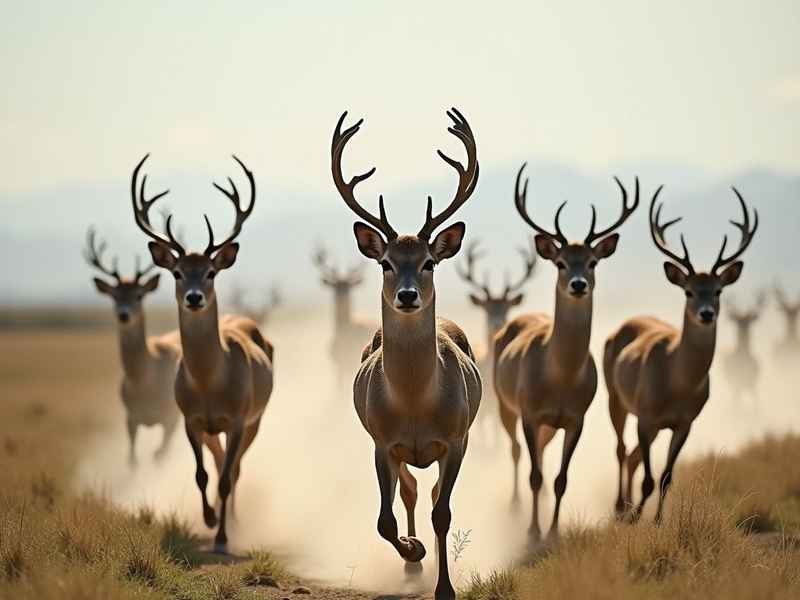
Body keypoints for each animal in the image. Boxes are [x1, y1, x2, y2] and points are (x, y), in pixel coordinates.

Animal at [84, 227, 182, 467]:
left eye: (139, 294)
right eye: (114, 295)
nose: (124, 314)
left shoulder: (170, 417)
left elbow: (159, 455)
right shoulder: (130, 417)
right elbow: (132, 460)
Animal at [130, 154, 274, 552]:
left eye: (211, 271)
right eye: (177, 272)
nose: (194, 298)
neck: (210, 382)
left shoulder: (238, 419)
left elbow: (225, 478)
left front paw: (222, 537)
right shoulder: (190, 421)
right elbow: (200, 475)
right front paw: (209, 519)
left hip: (255, 421)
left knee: (235, 467)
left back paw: (235, 522)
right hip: (213, 431)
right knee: (221, 460)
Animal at [331, 108, 481, 600]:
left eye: (430, 261)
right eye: (386, 263)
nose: (408, 295)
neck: (416, 404)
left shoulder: (456, 438)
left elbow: (443, 513)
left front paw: (445, 588)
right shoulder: (382, 443)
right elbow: (384, 520)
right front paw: (413, 551)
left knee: (430, 496)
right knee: (411, 491)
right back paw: (414, 563)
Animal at [493, 166, 639, 540]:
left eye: (592, 262)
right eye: (560, 262)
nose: (578, 284)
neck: (559, 377)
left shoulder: (576, 418)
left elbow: (561, 478)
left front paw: (554, 532)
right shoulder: (530, 412)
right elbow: (533, 474)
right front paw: (532, 532)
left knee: (542, 457)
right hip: (504, 405)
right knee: (516, 452)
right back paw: (514, 507)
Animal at [604, 187, 758, 523]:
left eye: (718, 290)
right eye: (688, 291)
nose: (706, 314)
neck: (677, 383)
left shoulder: (685, 423)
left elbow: (665, 477)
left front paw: (658, 520)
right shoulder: (646, 416)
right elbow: (648, 478)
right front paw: (638, 518)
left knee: (632, 456)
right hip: (615, 398)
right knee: (621, 450)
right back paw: (620, 507)